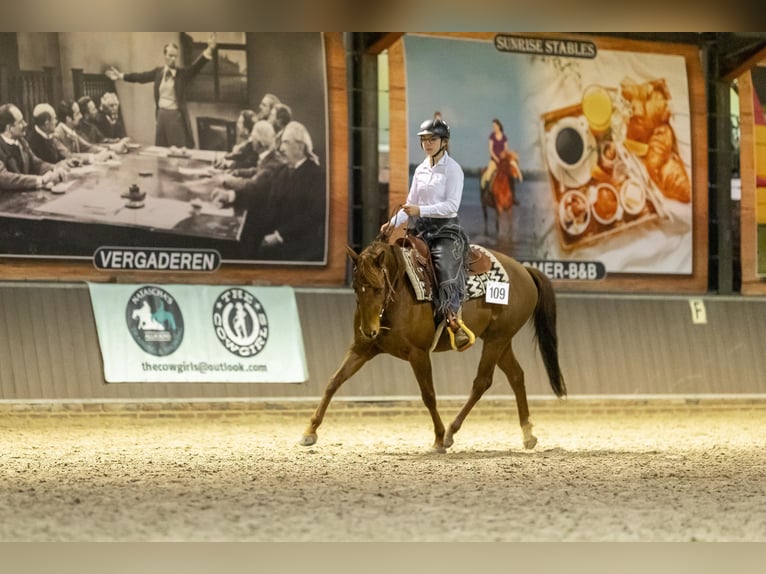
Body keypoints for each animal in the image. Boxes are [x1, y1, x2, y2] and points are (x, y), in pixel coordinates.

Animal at [302, 236, 568, 452]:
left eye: (378, 288)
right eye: (357, 287)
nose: (369, 331)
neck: (399, 294)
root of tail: (523, 269)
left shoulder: (418, 354)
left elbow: (428, 395)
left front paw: (439, 438)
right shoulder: (361, 349)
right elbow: (333, 382)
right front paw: (310, 431)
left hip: (496, 340)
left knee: (482, 382)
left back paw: (450, 432)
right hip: (500, 340)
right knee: (516, 376)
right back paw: (528, 433)